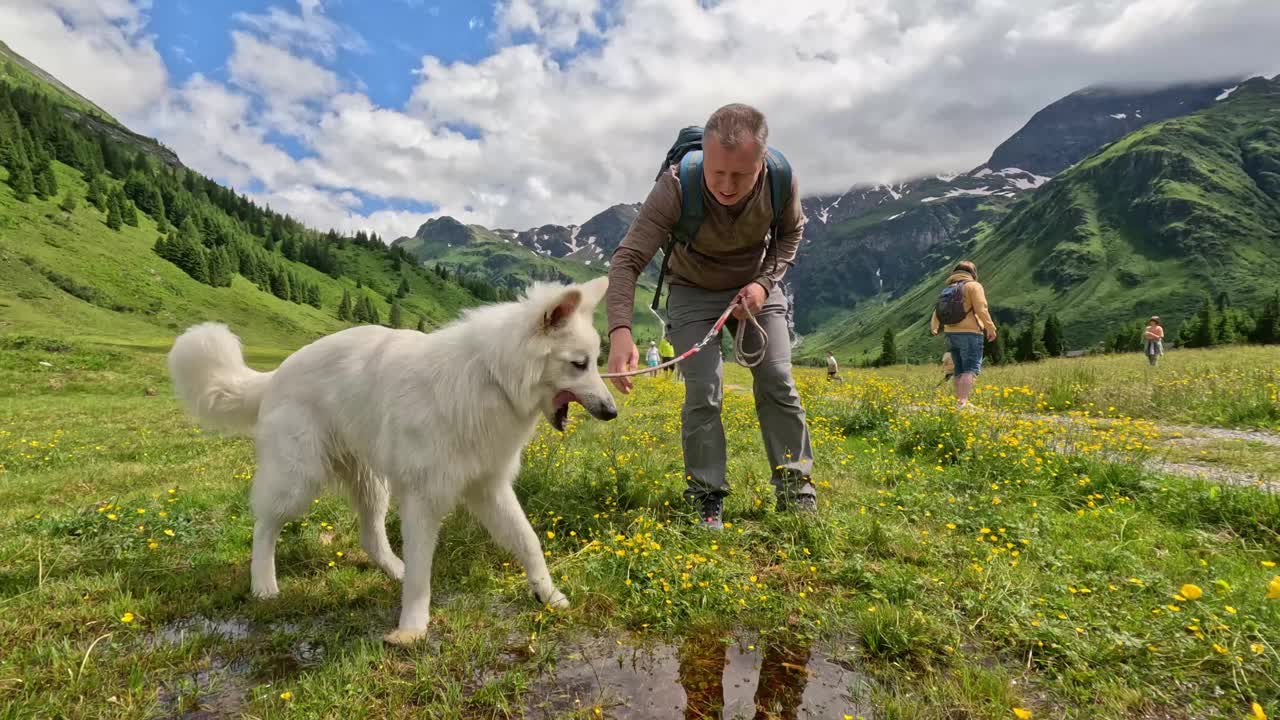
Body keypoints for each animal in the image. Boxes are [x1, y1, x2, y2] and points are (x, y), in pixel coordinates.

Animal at [166, 278, 619, 640]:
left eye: (594, 361)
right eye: (579, 364)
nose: (612, 412)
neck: (490, 376)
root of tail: (275, 374)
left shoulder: (488, 489)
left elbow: (528, 541)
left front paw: (549, 594)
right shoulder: (423, 498)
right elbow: (422, 573)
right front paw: (412, 629)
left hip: (370, 483)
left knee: (370, 536)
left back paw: (391, 569)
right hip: (298, 481)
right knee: (264, 526)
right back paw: (263, 586)